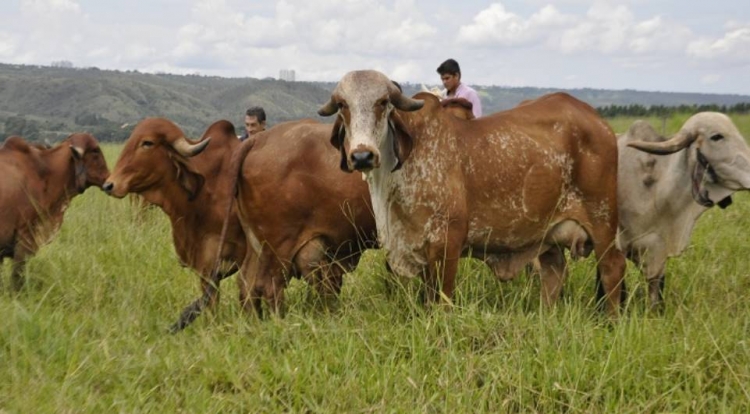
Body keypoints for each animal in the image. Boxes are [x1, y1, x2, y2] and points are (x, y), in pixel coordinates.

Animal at [318, 70, 628, 314]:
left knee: (612, 267)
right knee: (554, 272)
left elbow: (441, 300)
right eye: (343, 105)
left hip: (602, 220)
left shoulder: (447, 242)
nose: (362, 156)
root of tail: (597, 121)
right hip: (549, 234)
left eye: (383, 103)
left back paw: (611, 322)